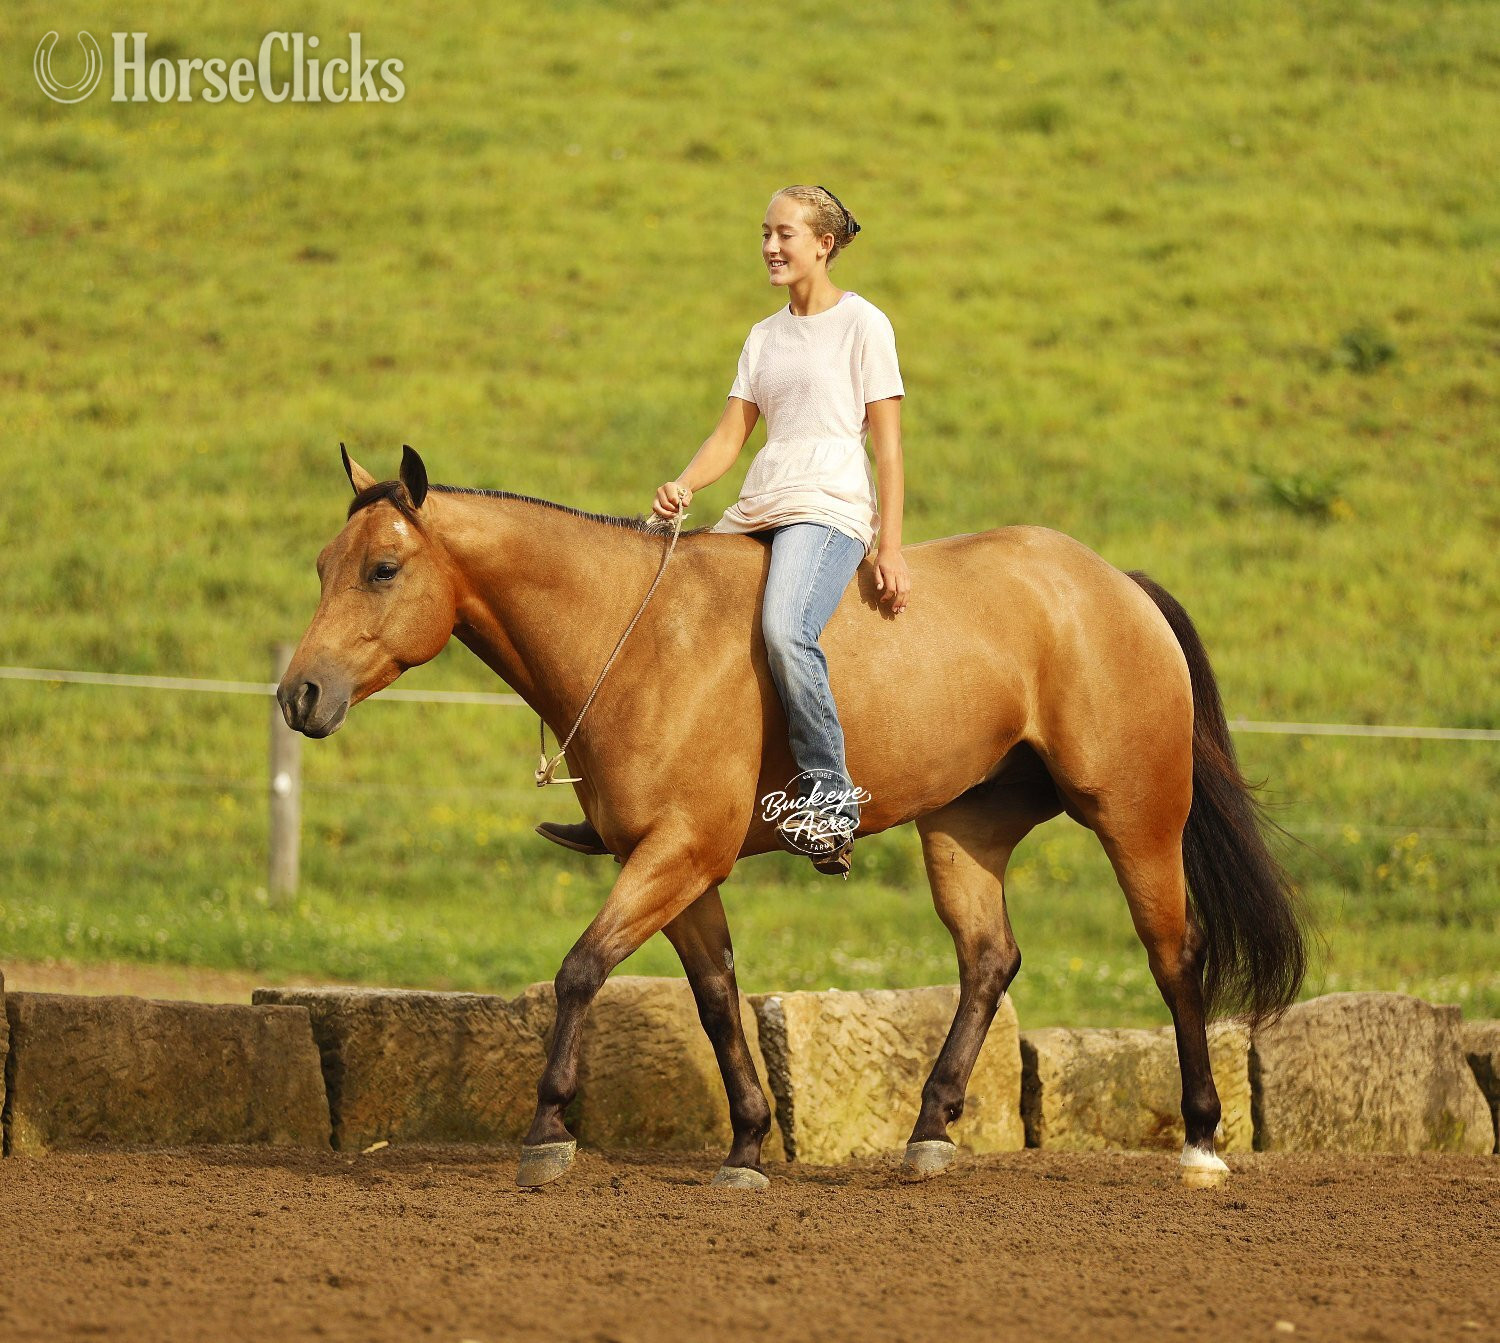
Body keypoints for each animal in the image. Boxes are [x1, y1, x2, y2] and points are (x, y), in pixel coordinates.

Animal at [277, 446, 1306, 1190]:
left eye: (382, 567)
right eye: (324, 564)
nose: (300, 693)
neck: (638, 637)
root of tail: (1114, 585)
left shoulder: (676, 853)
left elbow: (580, 970)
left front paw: (546, 1130)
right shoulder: (679, 865)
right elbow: (715, 996)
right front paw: (745, 1144)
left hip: (1135, 816)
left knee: (1173, 954)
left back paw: (1202, 1142)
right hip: (963, 831)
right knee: (989, 960)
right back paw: (929, 1131)